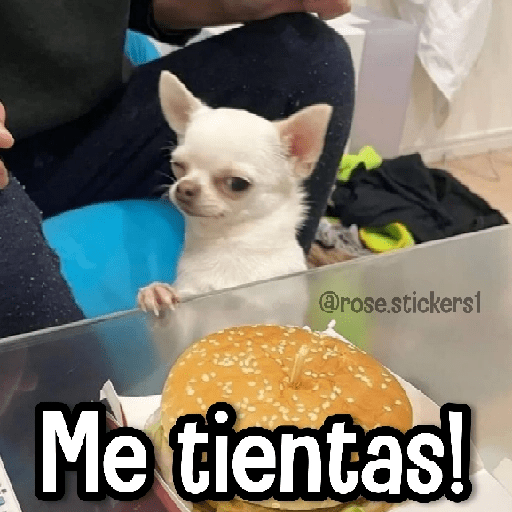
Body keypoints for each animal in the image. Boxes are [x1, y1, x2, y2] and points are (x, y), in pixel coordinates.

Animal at [137, 71, 332, 318]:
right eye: (177, 165)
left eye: (237, 184)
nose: (184, 187)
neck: (228, 245)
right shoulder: (191, 296)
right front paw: (157, 292)